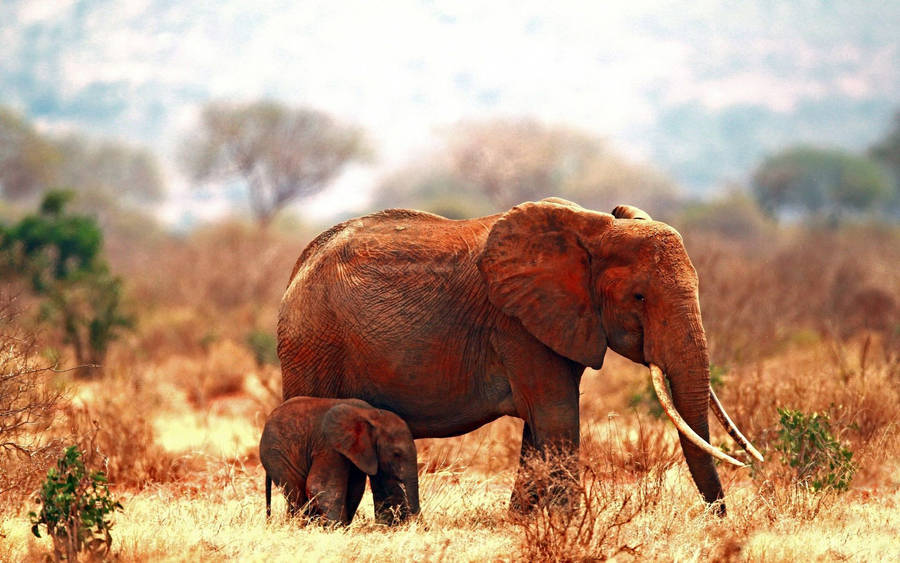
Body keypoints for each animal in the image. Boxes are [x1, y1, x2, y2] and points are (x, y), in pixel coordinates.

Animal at [259, 397, 420, 525]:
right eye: (396, 454)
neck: (371, 414)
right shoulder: (329, 445)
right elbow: (320, 487)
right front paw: (336, 529)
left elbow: (356, 488)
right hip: (276, 454)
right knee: (296, 492)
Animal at [277, 197, 761, 514]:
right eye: (640, 297)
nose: (717, 518)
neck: (592, 229)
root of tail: (299, 266)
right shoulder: (517, 326)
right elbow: (555, 413)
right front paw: (565, 524)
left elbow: (541, 422)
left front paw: (523, 520)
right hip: (312, 343)